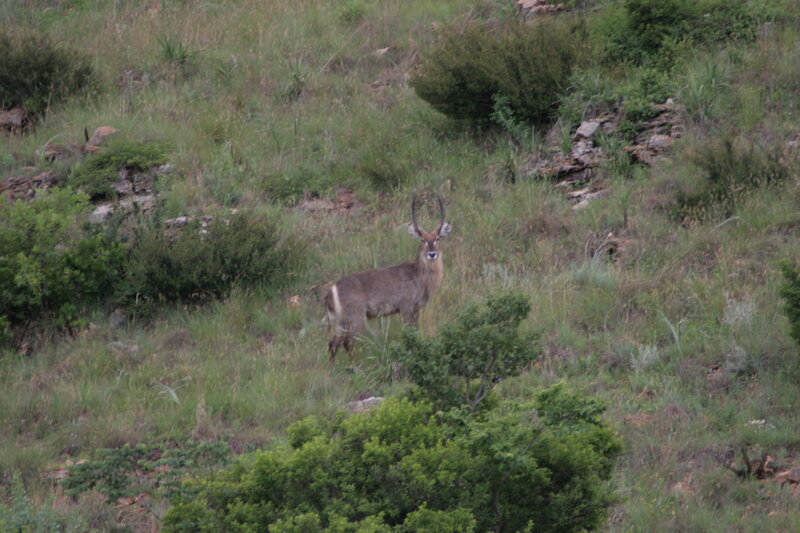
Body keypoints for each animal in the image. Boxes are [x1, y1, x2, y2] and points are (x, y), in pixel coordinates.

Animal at [324, 195, 452, 362]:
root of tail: (331, 291)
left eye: (437, 238)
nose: (432, 254)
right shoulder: (406, 307)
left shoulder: (416, 309)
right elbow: (409, 333)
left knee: (333, 344)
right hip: (356, 317)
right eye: (422, 240)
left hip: (341, 321)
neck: (420, 276)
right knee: (347, 342)